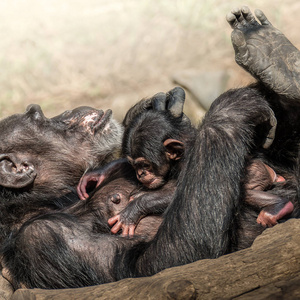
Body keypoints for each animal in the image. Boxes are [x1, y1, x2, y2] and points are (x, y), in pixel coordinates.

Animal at [0, 6, 298, 288]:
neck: (49, 201)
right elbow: (160, 262)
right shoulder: (42, 238)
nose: (64, 113)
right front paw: (232, 108)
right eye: (40, 118)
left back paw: (272, 55)